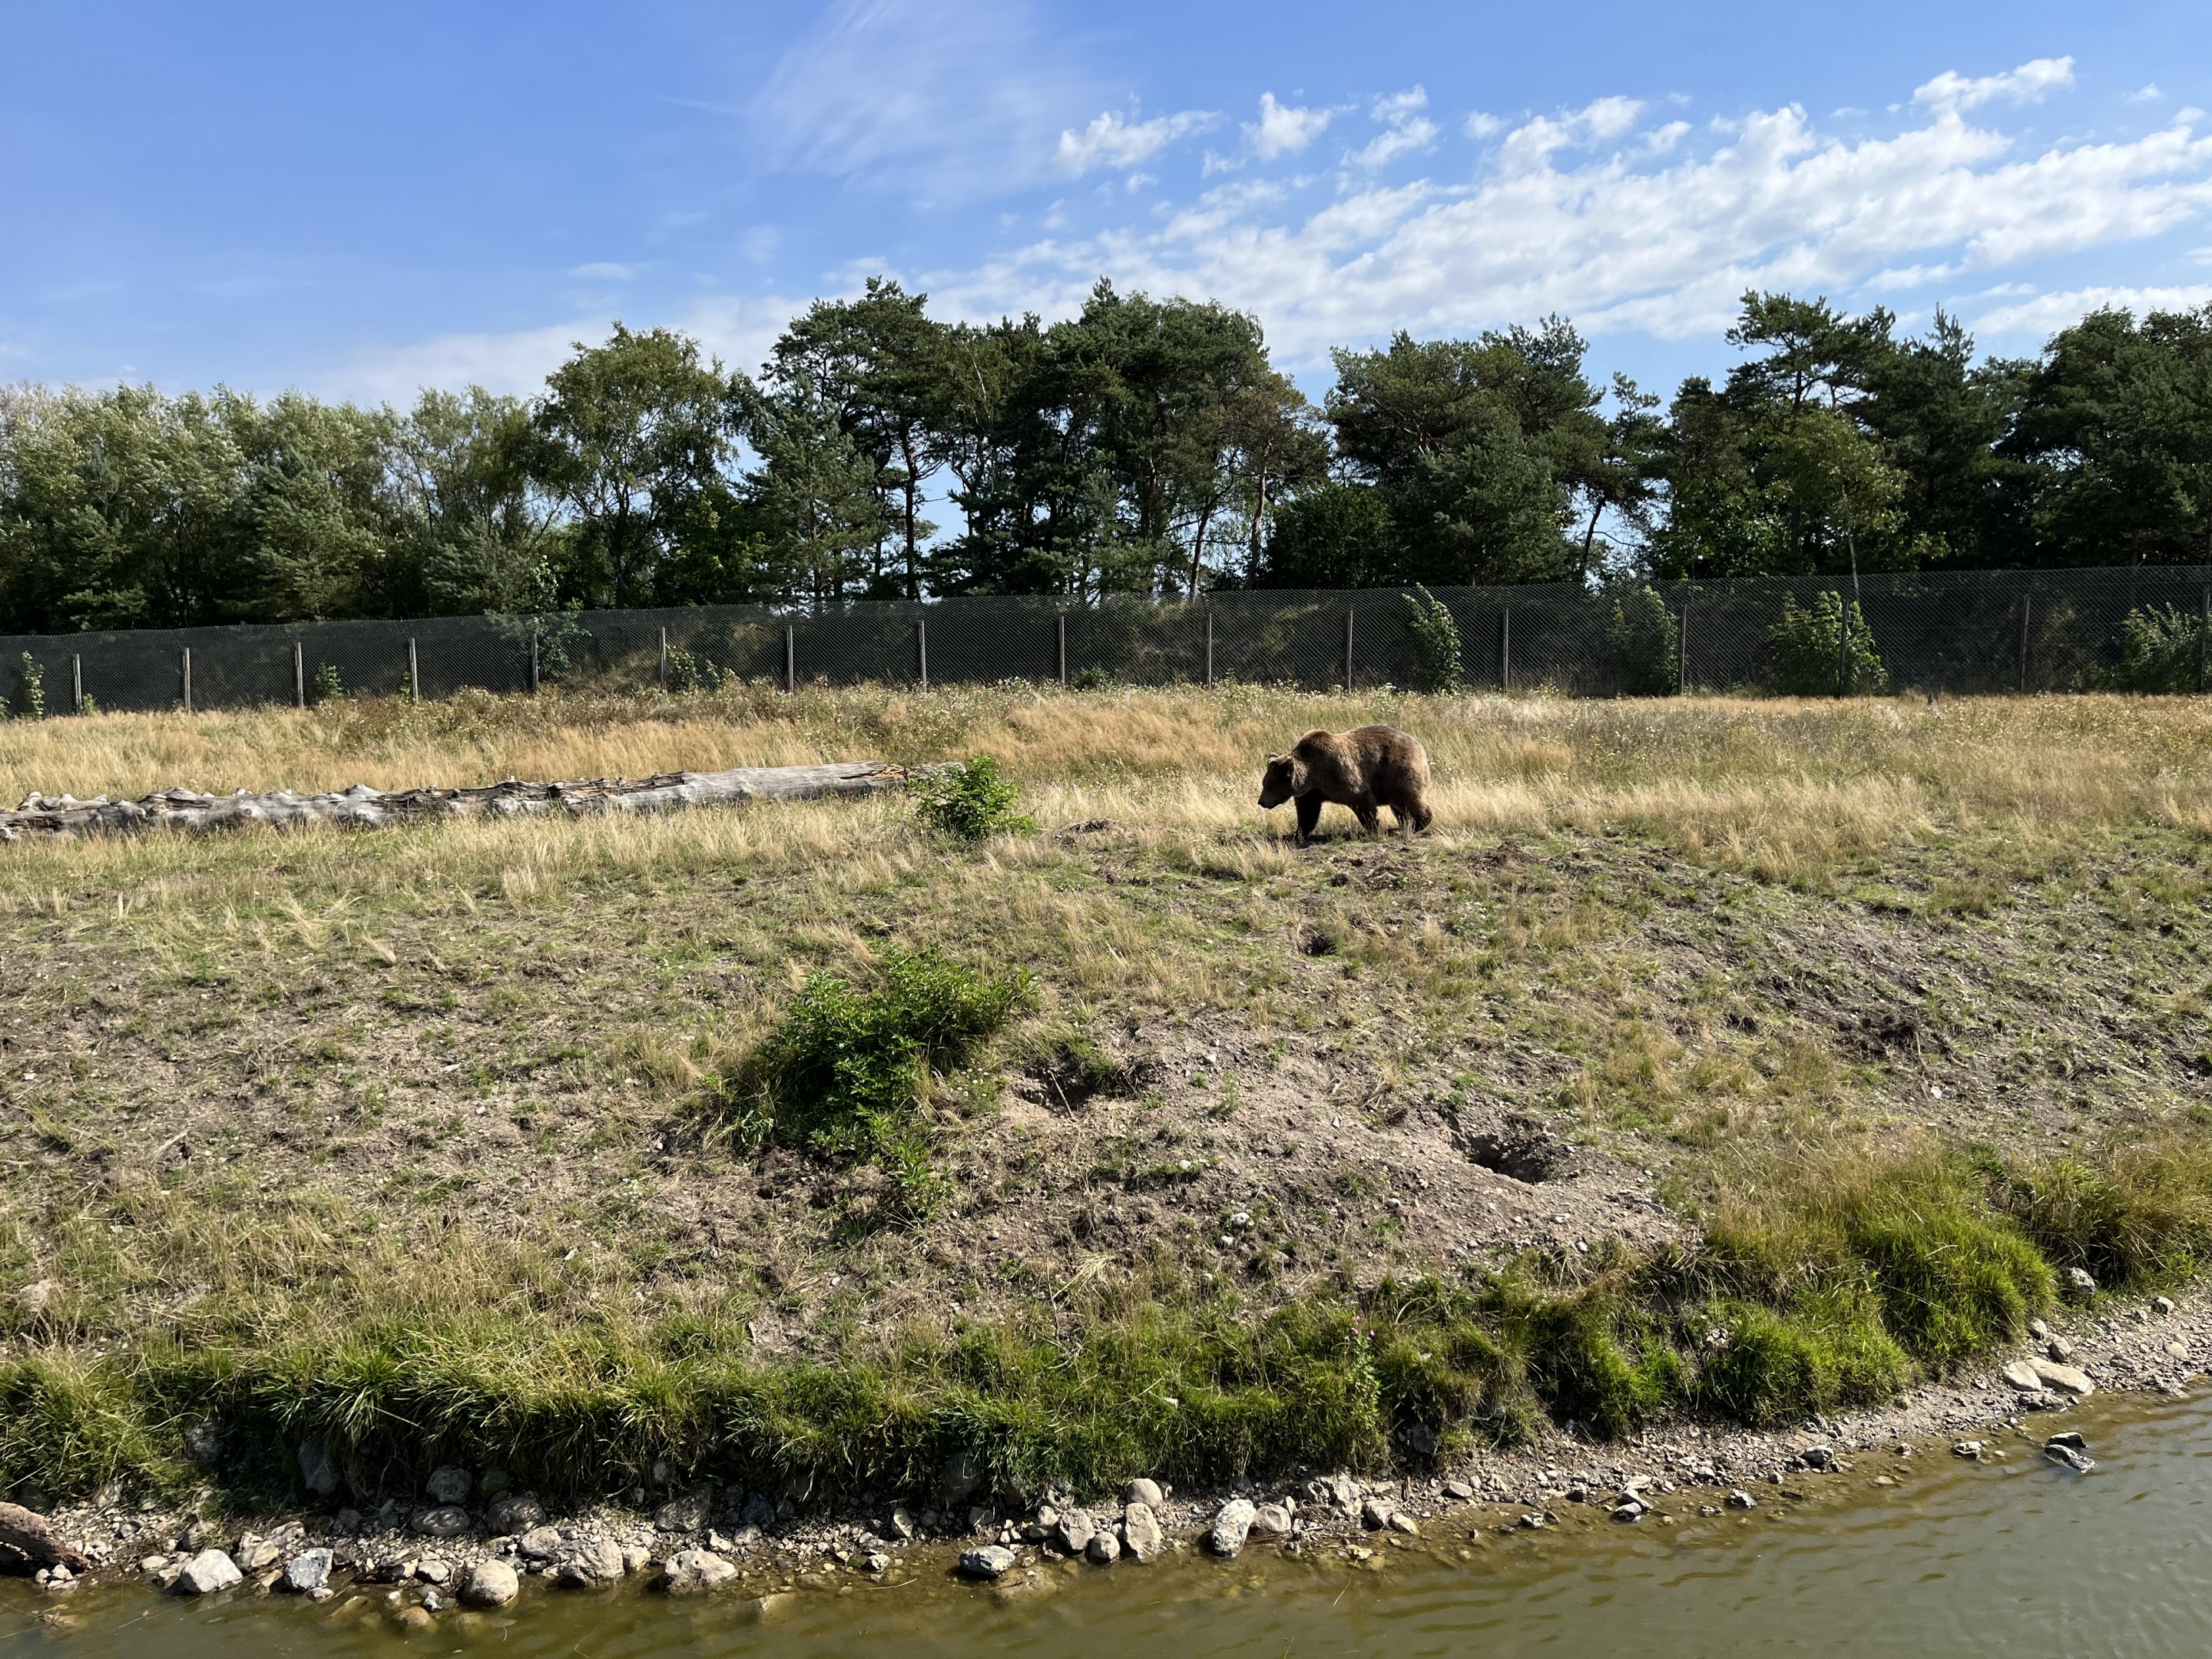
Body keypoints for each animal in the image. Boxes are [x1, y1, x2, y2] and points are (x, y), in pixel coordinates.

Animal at [1257, 725, 1433, 841]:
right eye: (1264, 784)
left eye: (1269, 786)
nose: (1261, 802)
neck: (1313, 776)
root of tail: (1419, 746)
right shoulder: (1312, 793)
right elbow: (1308, 813)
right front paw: (1296, 834)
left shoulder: (1340, 774)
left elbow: (1362, 800)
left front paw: (1375, 828)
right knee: (1399, 806)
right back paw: (1403, 825)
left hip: (1396, 771)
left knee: (1408, 798)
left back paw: (1417, 823)